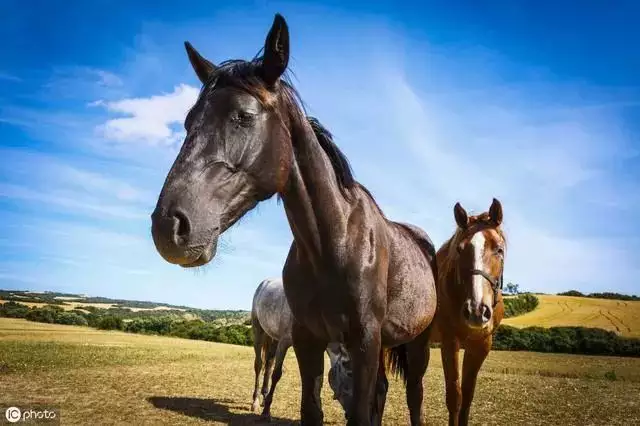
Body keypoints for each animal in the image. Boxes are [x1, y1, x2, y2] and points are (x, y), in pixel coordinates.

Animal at [250, 276, 352, 420]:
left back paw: (264, 397)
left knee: (268, 364)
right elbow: (277, 374)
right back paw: (255, 401)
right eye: (350, 373)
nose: (350, 414)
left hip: (274, 338)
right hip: (258, 330)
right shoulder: (284, 342)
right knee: (259, 365)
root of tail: (265, 282)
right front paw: (266, 412)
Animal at [432, 200, 508, 426]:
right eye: (459, 249)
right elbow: (454, 397)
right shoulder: (449, 343)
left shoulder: (481, 345)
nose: (476, 310)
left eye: (499, 249)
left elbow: (467, 396)